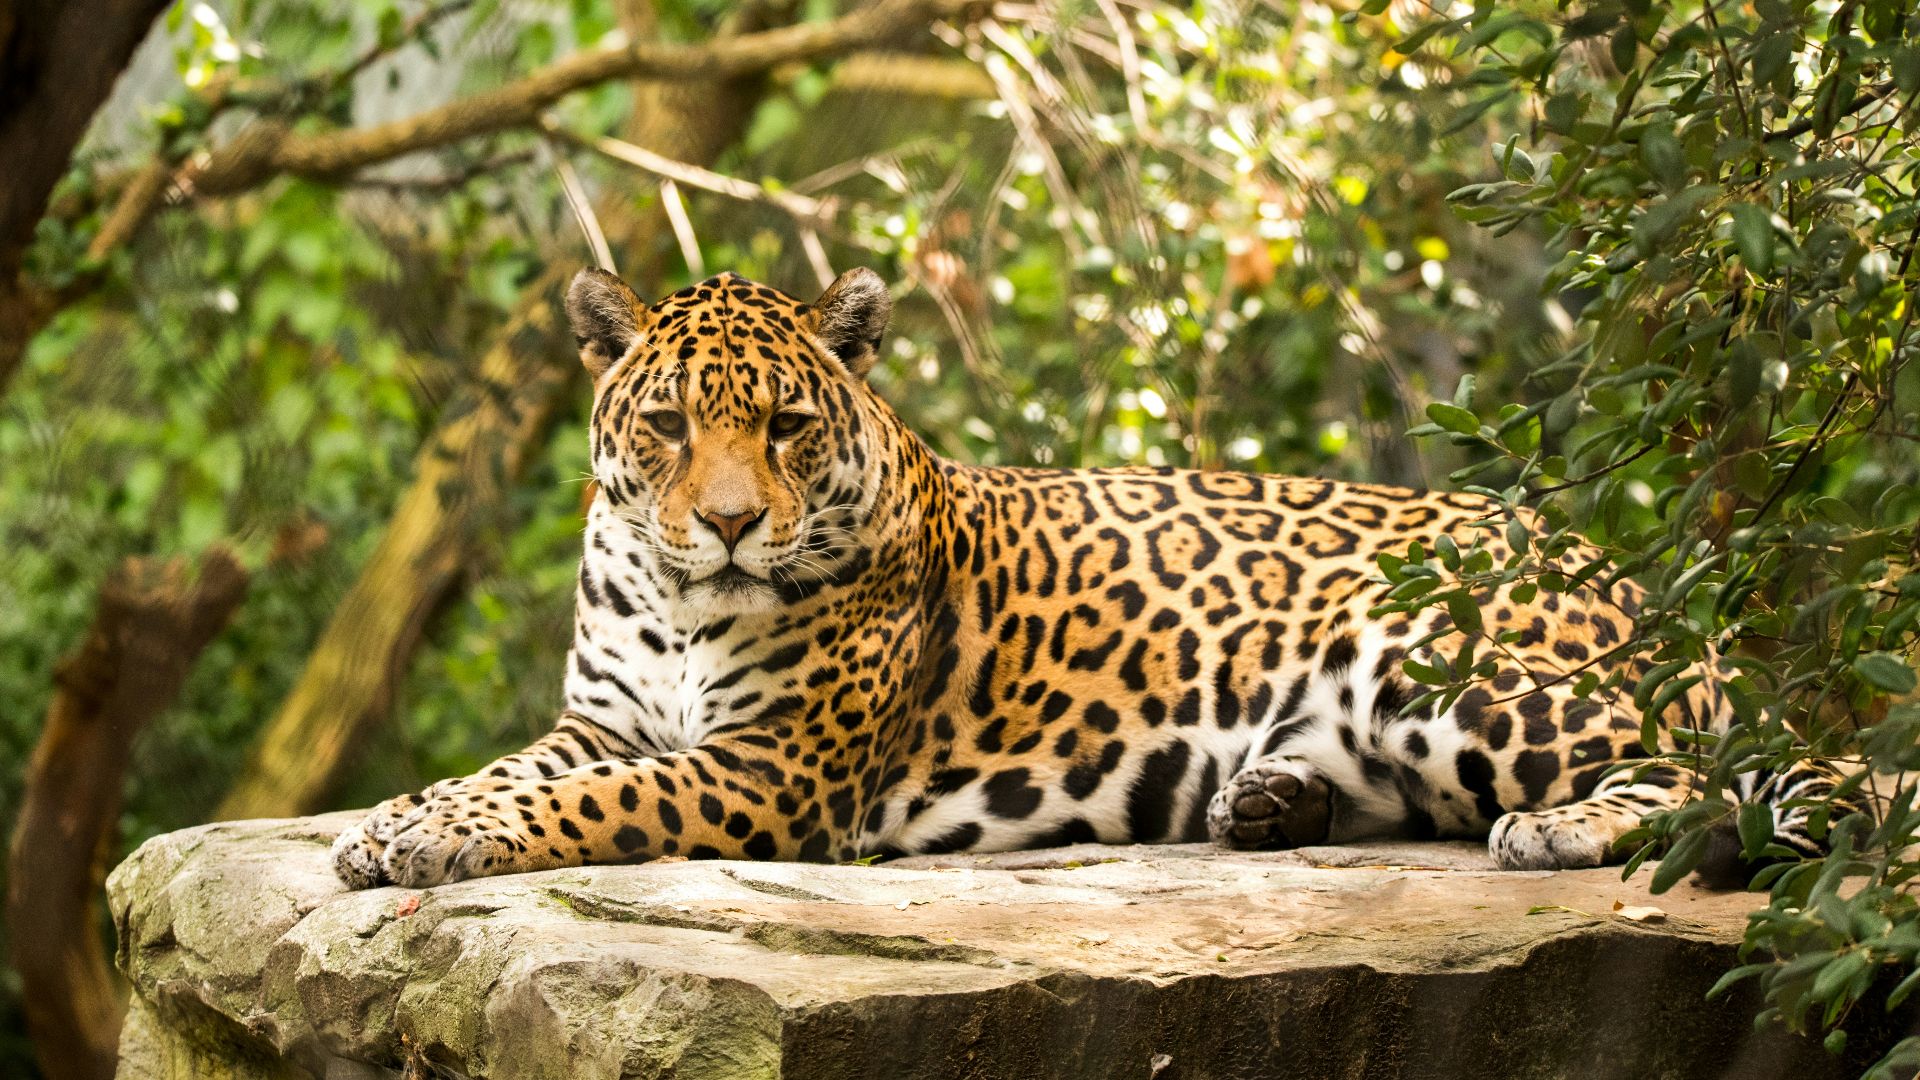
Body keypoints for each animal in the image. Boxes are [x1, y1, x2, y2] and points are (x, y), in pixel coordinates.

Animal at [332, 266, 1855, 890]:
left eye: (785, 424)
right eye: (665, 425)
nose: (725, 524)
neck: (676, 598)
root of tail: (1614, 565)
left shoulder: (772, 771)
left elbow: (587, 804)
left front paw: (433, 839)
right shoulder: (603, 716)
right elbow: (521, 771)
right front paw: (399, 818)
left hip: (1438, 660)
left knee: (1724, 769)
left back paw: (1558, 831)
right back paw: (1269, 799)